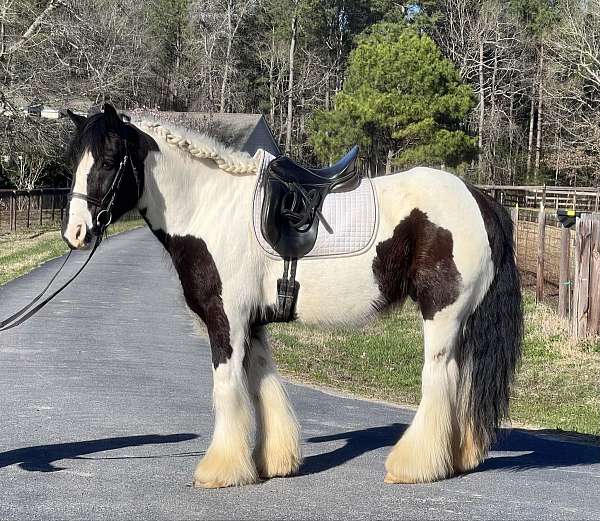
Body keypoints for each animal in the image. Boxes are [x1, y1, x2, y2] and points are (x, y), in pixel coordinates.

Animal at [59, 104, 520, 488]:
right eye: (73, 163)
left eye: (106, 162)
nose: (75, 233)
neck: (210, 207)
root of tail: (480, 201)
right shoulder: (252, 323)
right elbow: (261, 385)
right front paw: (272, 462)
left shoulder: (226, 319)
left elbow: (227, 387)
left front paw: (221, 470)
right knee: (462, 379)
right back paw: (457, 458)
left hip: (441, 314)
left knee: (439, 378)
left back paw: (414, 466)